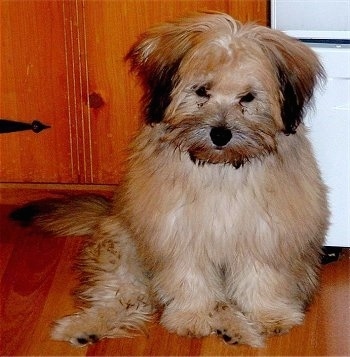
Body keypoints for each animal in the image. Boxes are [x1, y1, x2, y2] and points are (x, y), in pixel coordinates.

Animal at [10, 12, 328, 346]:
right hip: (123, 245)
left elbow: (262, 277)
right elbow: (189, 278)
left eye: (248, 98)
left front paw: (269, 315)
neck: (221, 170)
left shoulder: (265, 232)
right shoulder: (177, 232)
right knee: (123, 295)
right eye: (202, 91)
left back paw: (232, 327)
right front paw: (192, 316)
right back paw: (85, 327)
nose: (220, 134)